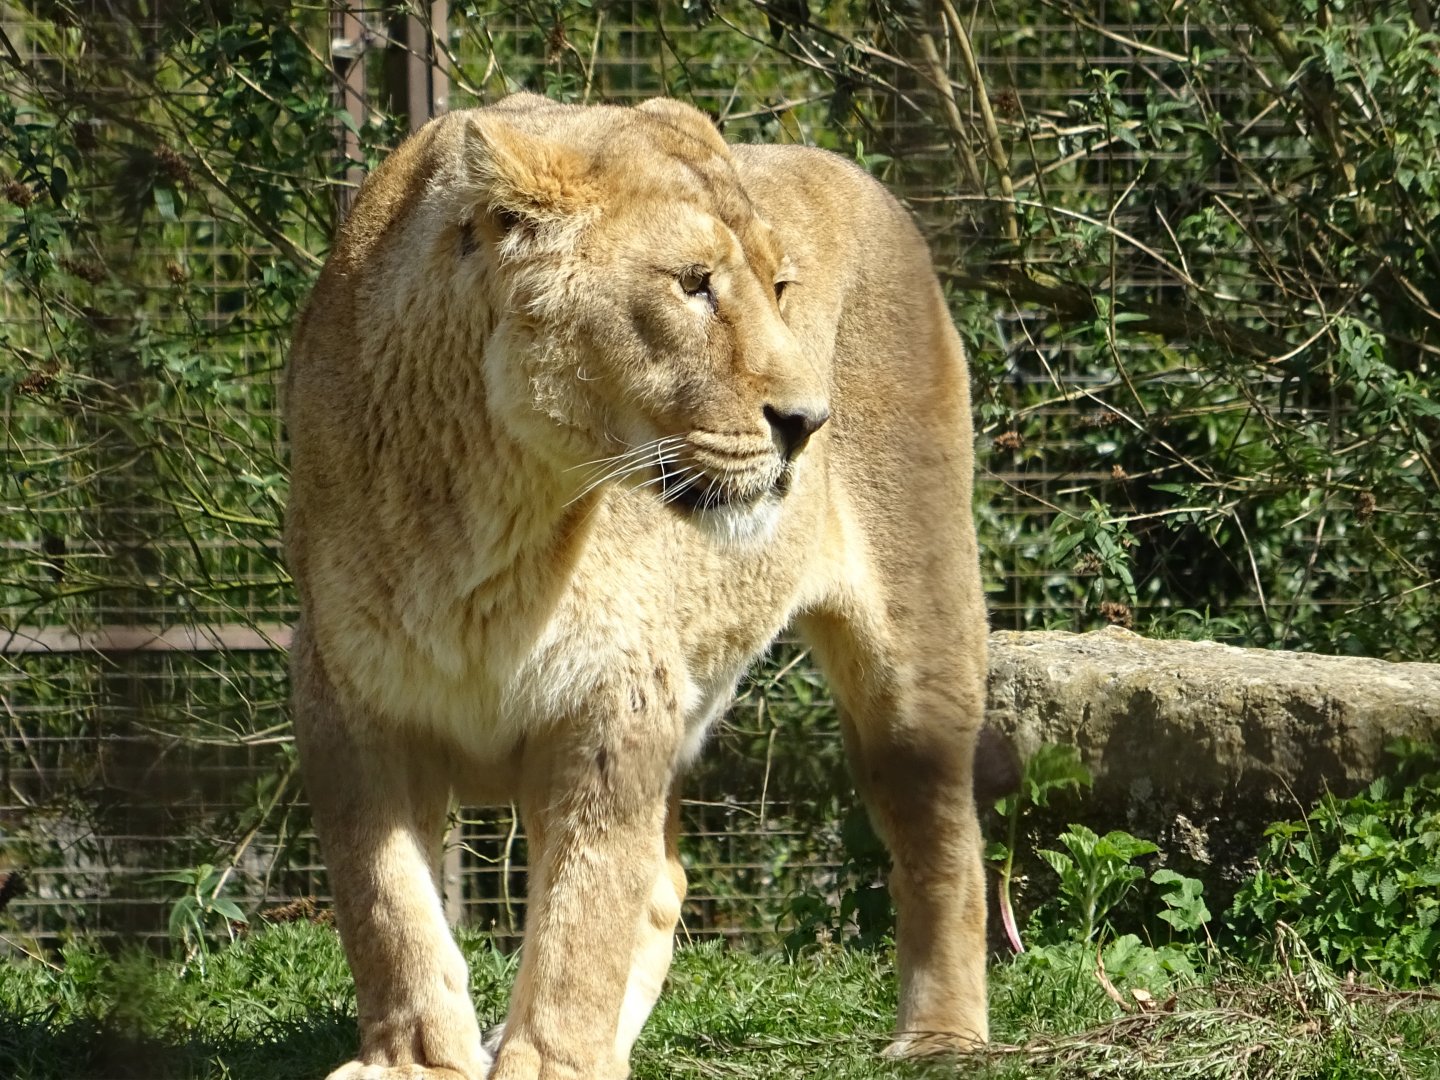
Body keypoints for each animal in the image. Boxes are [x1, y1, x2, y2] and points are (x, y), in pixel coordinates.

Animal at [285, 93, 990, 1080]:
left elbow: (585, 911)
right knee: (667, 881)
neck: (492, 502)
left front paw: (550, 1062)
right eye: (693, 284)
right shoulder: (346, 697)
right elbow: (386, 903)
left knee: (942, 833)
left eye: (780, 289)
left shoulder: (615, 699)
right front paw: (418, 1060)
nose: (808, 422)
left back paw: (942, 1036)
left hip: (919, 636)